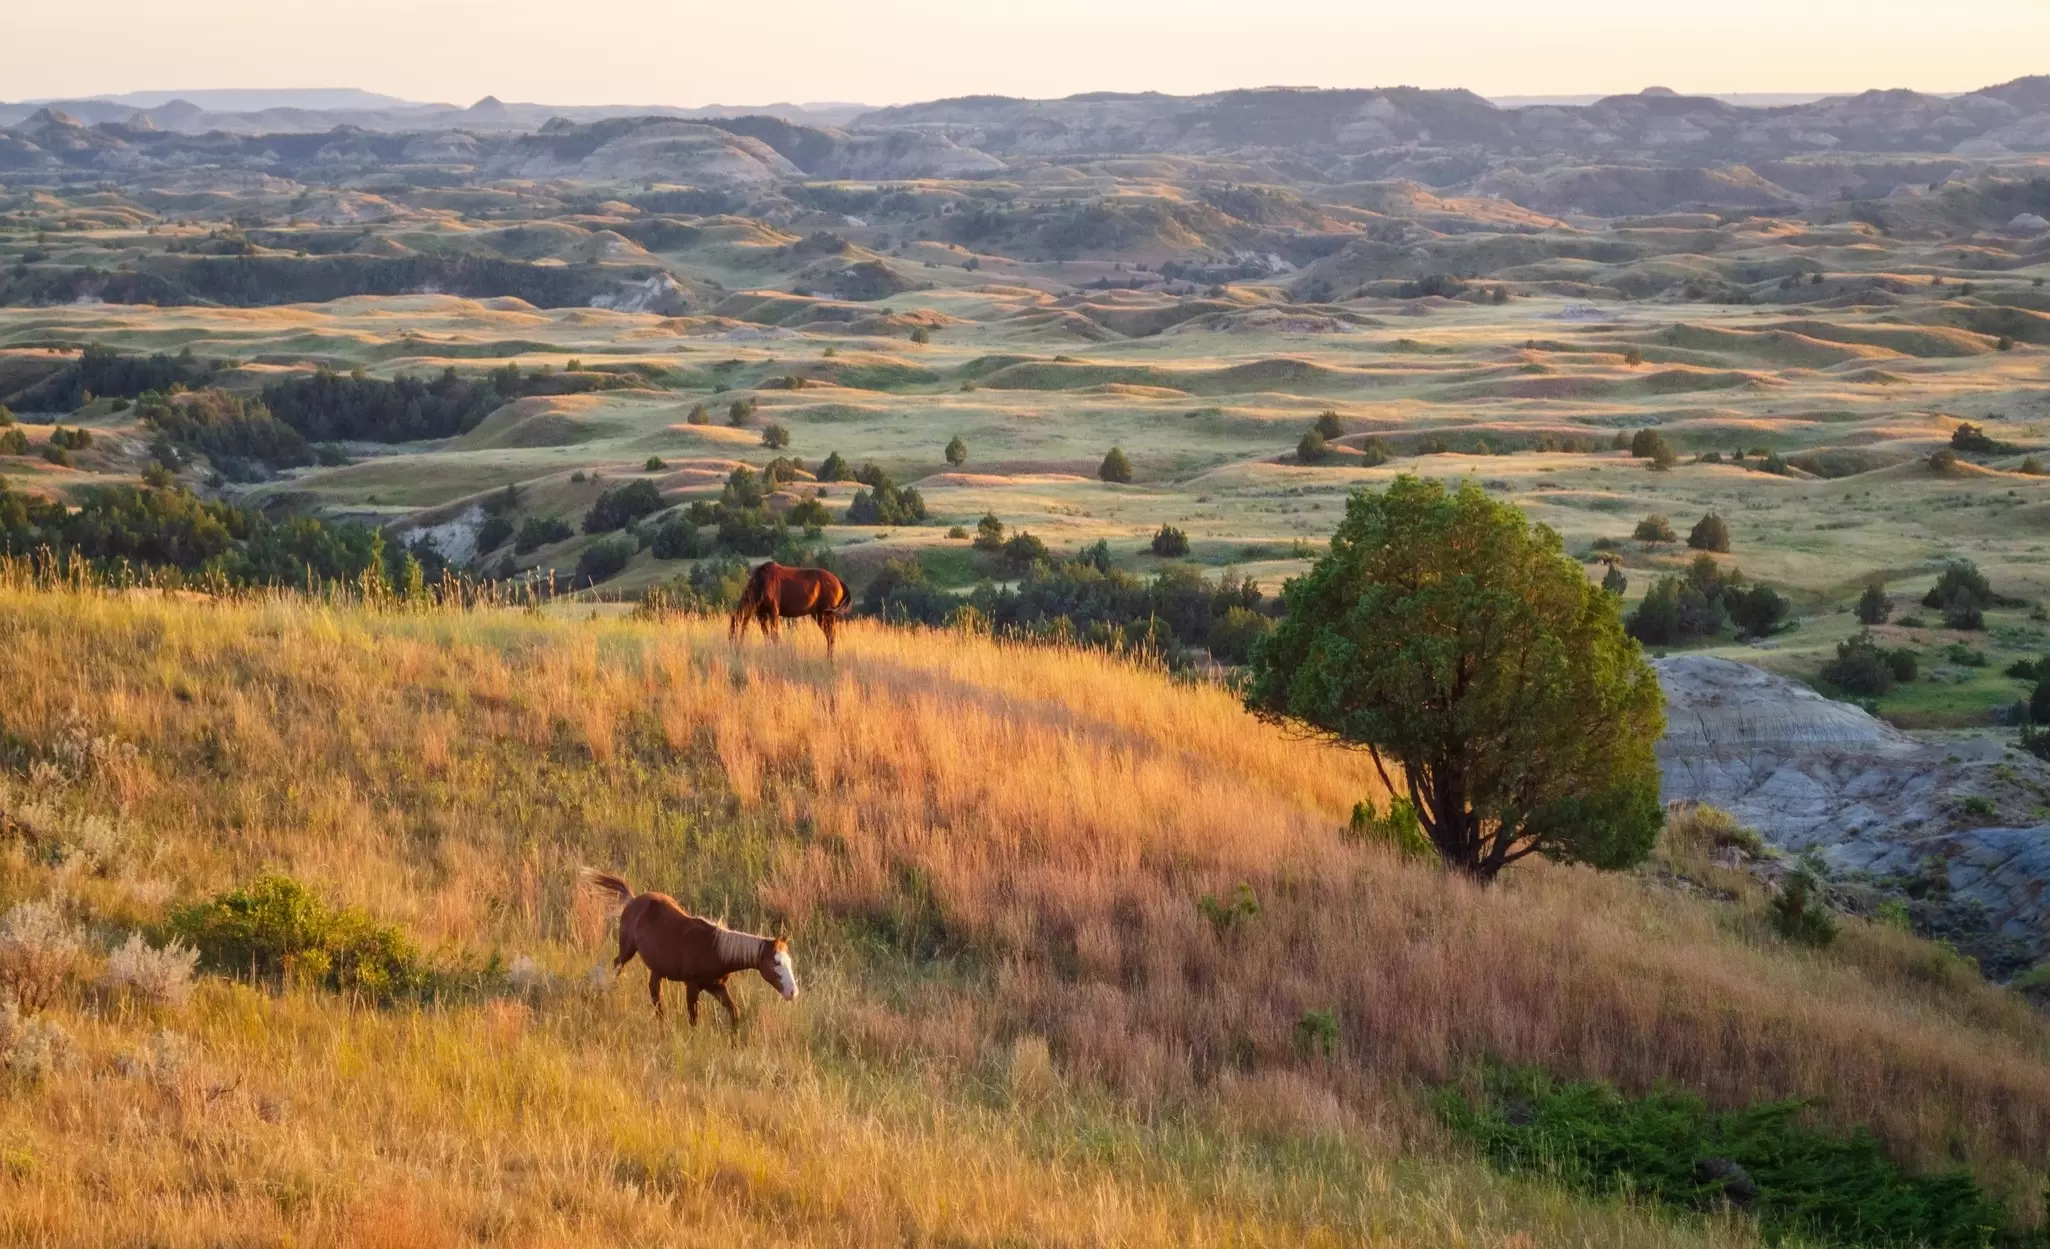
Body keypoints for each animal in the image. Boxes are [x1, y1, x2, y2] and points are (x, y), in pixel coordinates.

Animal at [579, 869, 798, 1027]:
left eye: (789, 962)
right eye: (776, 962)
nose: (792, 993)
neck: (715, 950)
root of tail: (632, 899)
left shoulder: (717, 987)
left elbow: (734, 1012)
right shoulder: (692, 986)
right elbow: (694, 1019)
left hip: (657, 968)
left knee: (654, 991)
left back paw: (661, 1021)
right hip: (627, 950)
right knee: (617, 965)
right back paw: (606, 992)